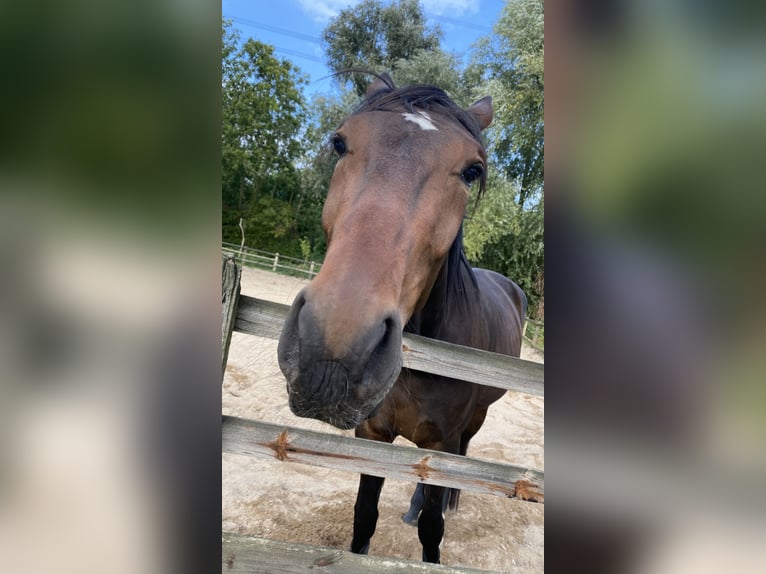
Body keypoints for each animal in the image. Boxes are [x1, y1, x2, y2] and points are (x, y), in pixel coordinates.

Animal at [280, 74, 532, 564]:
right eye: (339, 142)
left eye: (472, 170)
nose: (334, 348)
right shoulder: (372, 434)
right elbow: (364, 516)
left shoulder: (442, 440)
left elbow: (433, 530)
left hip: (472, 422)